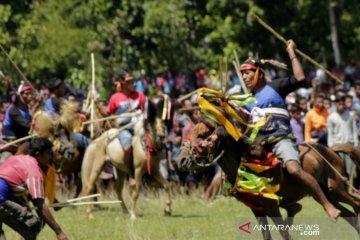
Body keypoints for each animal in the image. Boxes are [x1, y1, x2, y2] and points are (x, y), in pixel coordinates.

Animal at [176, 112, 360, 238]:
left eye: (202, 136)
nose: (181, 160)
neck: (245, 162)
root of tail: (331, 150)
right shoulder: (257, 209)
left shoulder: (271, 207)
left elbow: (285, 234)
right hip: (328, 195)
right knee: (350, 214)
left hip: (335, 189)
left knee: (356, 204)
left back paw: (334, 213)